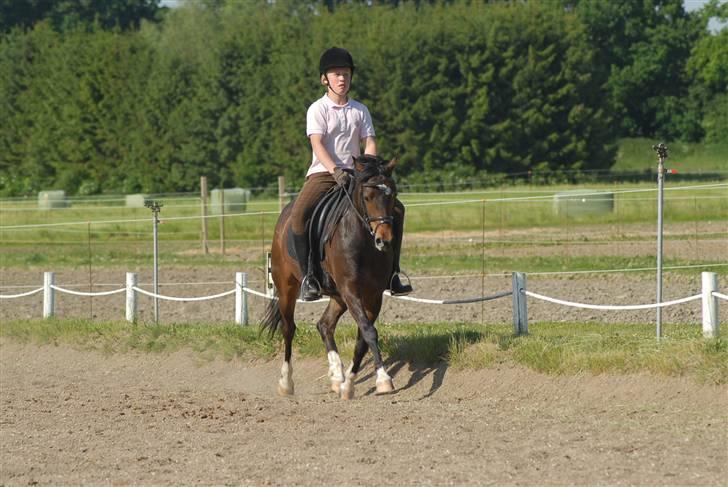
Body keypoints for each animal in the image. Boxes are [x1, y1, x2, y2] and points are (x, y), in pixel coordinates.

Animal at [261, 155, 399, 400]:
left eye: (392, 194)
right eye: (367, 196)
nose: (385, 241)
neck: (363, 243)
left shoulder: (373, 295)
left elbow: (363, 338)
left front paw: (348, 384)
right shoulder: (350, 290)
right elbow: (369, 332)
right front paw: (383, 379)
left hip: (337, 296)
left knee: (324, 325)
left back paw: (336, 376)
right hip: (287, 288)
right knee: (289, 329)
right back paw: (286, 382)